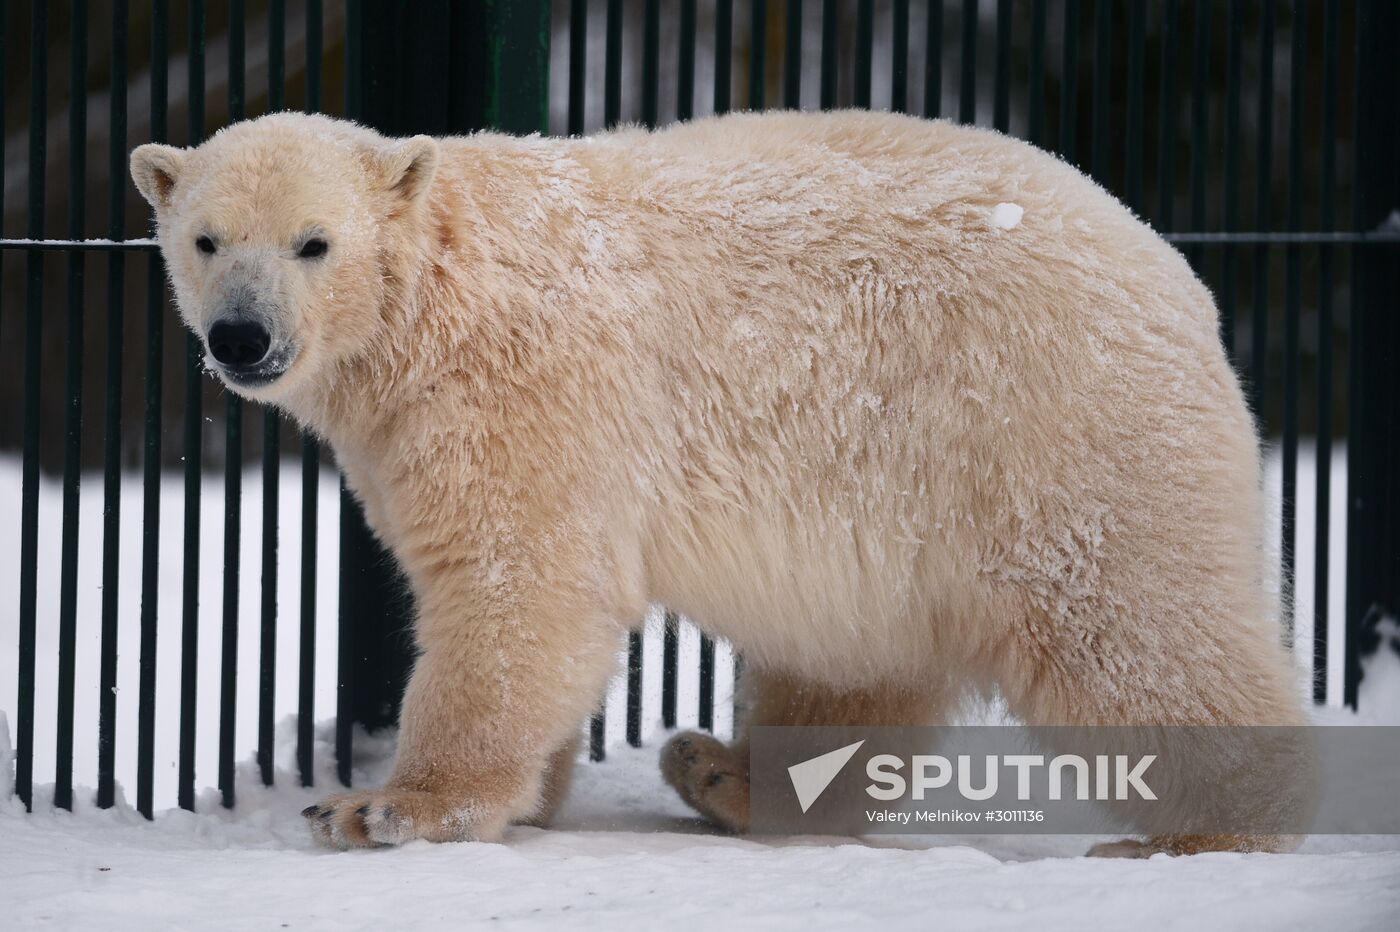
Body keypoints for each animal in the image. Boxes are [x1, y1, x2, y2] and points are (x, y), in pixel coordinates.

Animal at [131, 109, 1307, 856]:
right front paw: (531, 795)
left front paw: (385, 808)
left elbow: (520, 584)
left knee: (1135, 627)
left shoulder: (529, 391)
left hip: (1051, 434)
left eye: (314, 243)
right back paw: (724, 775)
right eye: (205, 239)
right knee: (852, 662)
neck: (442, 289)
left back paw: (1207, 828)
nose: (242, 338)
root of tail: (1172, 270)